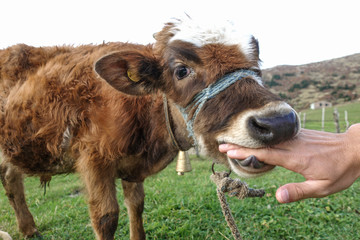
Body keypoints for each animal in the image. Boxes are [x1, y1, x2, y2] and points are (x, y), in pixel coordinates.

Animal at [0, 17, 298, 239]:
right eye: (181, 71)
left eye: (257, 65)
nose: (279, 123)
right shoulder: (93, 160)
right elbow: (106, 217)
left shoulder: (132, 167)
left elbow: (137, 205)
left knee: (12, 181)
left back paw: (29, 229)